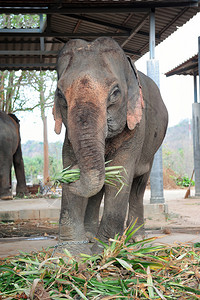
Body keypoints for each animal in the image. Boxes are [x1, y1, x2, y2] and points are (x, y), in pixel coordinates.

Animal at [52, 36, 167, 254]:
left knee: (138, 186)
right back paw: (90, 236)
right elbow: (69, 157)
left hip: (151, 150)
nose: (65, 180)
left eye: (115, 92)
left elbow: (120, 174)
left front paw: (104, 252)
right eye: (60, 94)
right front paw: (68, 253)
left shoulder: (136, 123)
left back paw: (137, 238)